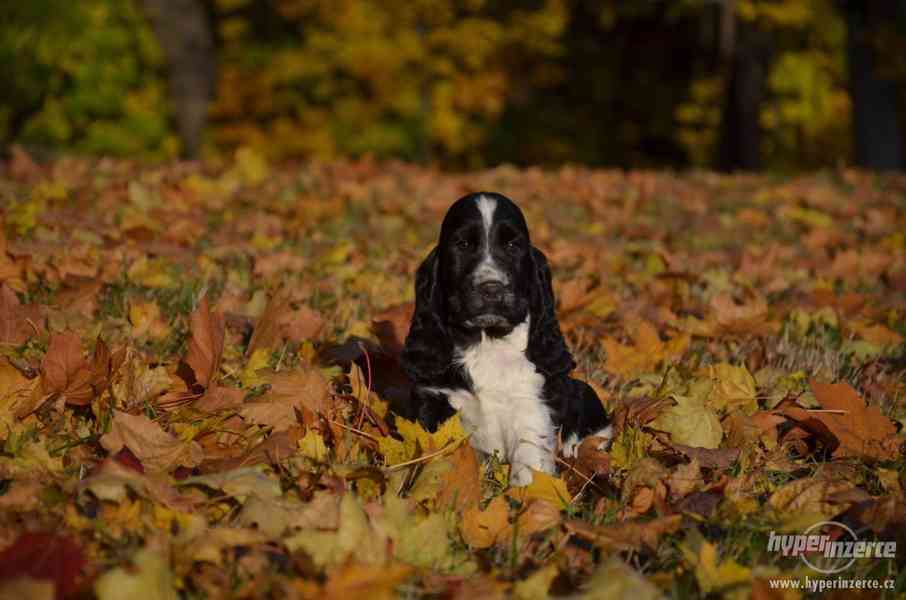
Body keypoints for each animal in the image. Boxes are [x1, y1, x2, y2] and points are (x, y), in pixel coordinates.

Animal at [400, 192, 612, 488]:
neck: (487, 341)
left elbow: (530, 459)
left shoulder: (532, 403)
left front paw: (525, 496)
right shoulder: (435, 401)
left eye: (513, 245)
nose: (492, 288)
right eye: (463, 244)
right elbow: (442, 452)